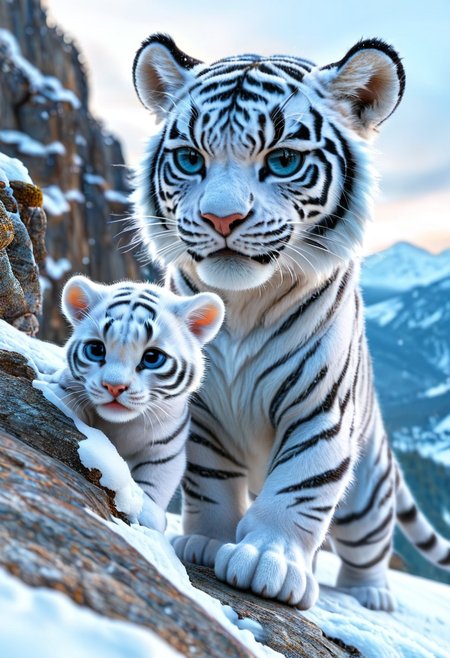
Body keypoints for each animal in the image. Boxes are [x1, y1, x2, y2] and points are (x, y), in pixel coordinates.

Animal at [54, 274, 224, 531]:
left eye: (152, 357)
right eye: (96, 349)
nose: (114, 386)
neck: (121, 426)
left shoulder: (167, 448)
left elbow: (155, 480)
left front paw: (148, 512)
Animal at [131, 34, 450, 610]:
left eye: (280, 162)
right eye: (190, 159)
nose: (221, 218)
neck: (241, 304)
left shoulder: (319, 409)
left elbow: (300, 488)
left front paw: (268, 562)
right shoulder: (201, 409)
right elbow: (210, 481)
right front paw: (205, 541)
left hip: (368, 491)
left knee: (368, 544)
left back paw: (370, 595)